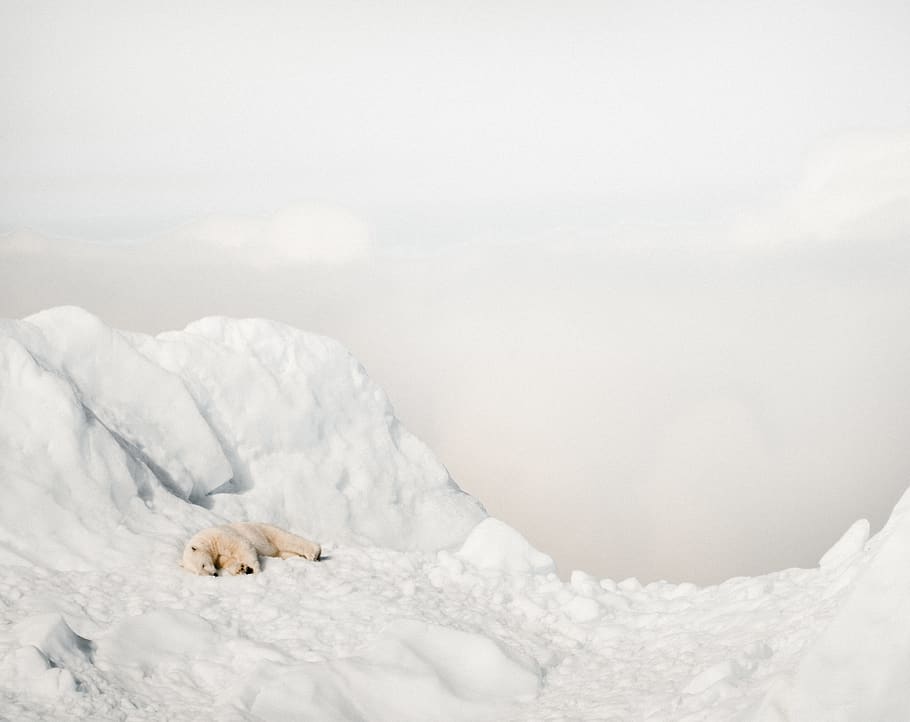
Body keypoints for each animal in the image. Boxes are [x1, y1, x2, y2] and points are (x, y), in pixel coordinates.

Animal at [182, 522, 321, 576]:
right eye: (200, 573)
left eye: (203, 565)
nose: (214, 575)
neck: (207, 539)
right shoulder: (217, 557)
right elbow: (227, 561)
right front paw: (242, 569)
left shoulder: (221, 536)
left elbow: (242, 545)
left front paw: (254, 569)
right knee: (285, 552)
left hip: (265, 532)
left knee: (286, 539)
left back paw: (314, 552)